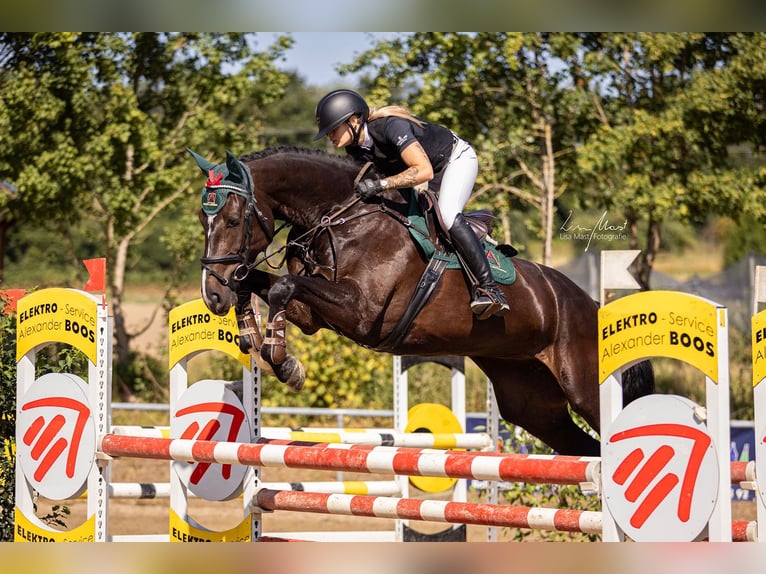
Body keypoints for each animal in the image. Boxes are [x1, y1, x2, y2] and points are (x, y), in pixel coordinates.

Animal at [189, 146, 654, 456]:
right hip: (532, 402)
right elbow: (267, 286)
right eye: (201, 219)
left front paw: (283, 363)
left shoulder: (361, 312)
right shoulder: (312, 313)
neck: (340, 219)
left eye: (233, 219)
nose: (212, 295)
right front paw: (250, 335)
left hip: (585, 388)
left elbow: (282, 288)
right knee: (582, 448)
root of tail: (592, 305)